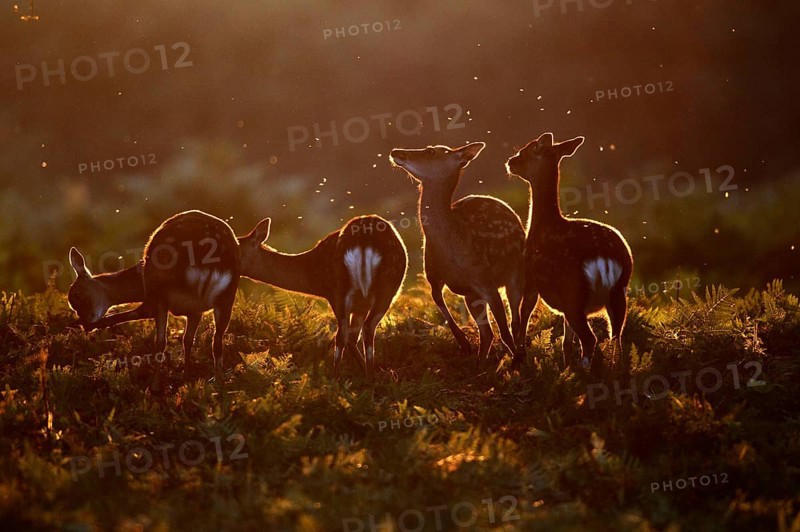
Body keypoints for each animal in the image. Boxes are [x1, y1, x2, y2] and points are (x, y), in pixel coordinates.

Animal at [68, 210, 240, 380]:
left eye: (77, 294)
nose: (86, 323)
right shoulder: (195, 311)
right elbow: (187, 340)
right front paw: (186, 377)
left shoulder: (156, 300)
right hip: (227, 296)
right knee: (216, 341)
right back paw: (217, 381)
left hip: (160, 293)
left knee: (160, 342)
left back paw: (155, 383)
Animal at [237, 215, 407, 379]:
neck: (312, 278)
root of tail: (364, 242)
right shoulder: (358, 304)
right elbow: (354, 337)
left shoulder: (341, 298)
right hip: (382, 291)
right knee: (363, 330)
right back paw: (370, 377)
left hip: (342, 291)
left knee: (343, 335)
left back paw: (337, 380)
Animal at [389, 142, 528, 367]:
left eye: (431, 151)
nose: (396, 152)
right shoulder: (434, 276)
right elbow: (438, 300)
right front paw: (463, 342)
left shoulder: (485, 280)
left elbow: (505, 331)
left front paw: (515, 360)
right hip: (472, 296)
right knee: (487, 332)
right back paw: (480, 363)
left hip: (515, 274)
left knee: (514, 321)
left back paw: (515, 355)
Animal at [506, 132, 633, 371]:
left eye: (525, 151)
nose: (510, 162)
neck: (541, 225)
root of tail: (605, 259)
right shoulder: (563, 303)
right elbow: (566, 342)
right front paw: (564, 368)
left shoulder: (531, 279)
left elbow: (523, 314)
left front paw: (520, 358)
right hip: (618, 293)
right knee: (617, 337)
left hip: (574, 291)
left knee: (591, 339)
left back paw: (583, 372)